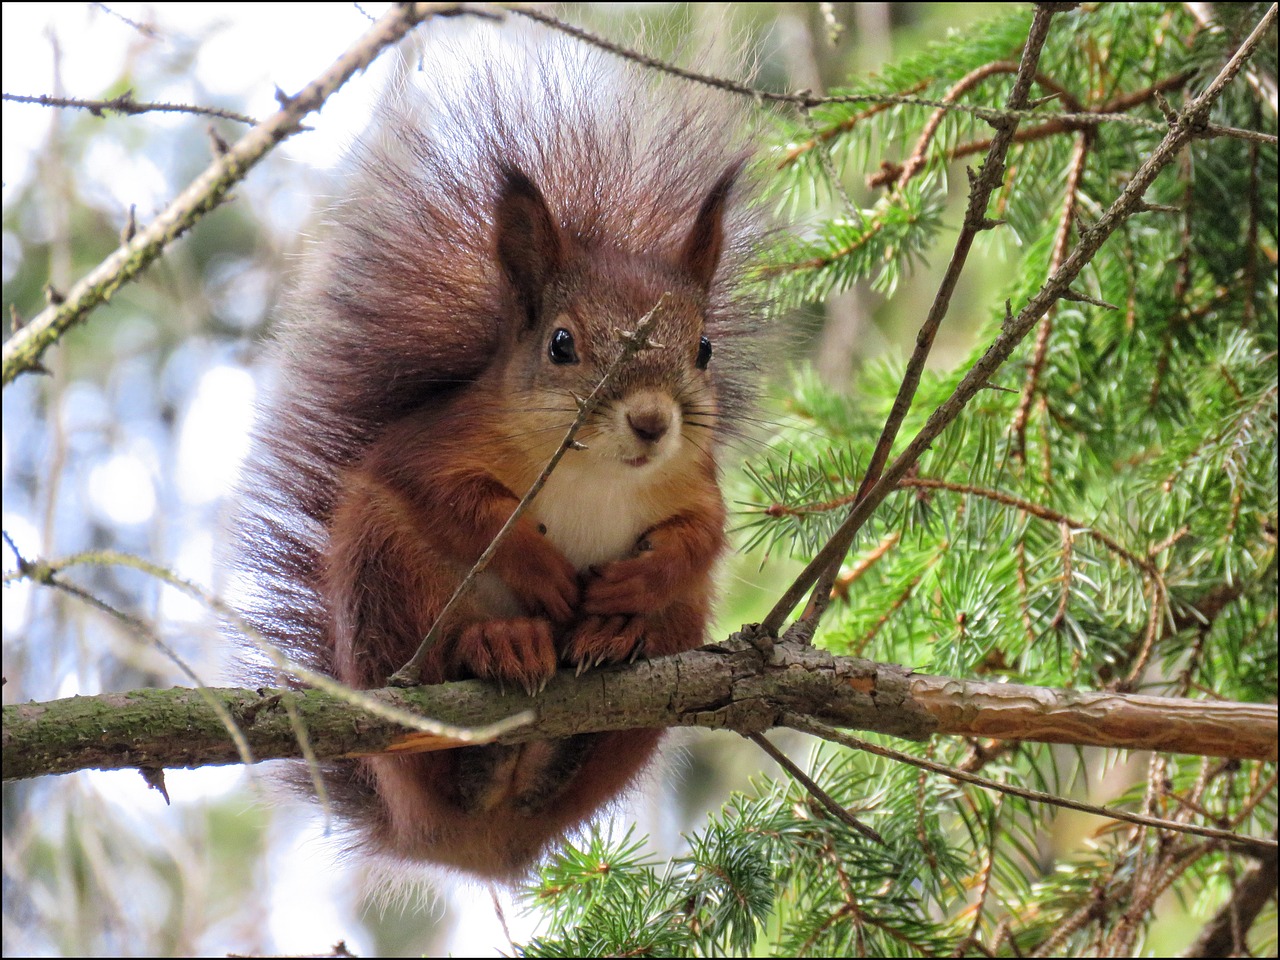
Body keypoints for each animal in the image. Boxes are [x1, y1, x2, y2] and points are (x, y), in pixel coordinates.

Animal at [235, 30, 762, 885]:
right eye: (561, 344)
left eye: (705, 349)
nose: (652, 423)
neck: (593, 471)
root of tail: (462, 846)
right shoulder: (437, 448)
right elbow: (456, 503)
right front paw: (541, 570)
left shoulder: (695, 482)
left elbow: (702, 539)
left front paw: (629, 585)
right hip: (384, 576)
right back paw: (498, 647)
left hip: (681, 626)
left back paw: (611, 647)